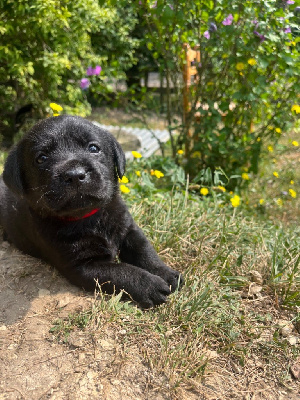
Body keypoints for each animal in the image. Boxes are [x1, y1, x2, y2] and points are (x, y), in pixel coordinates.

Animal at [0, 114, 183, 308]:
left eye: (93, 148)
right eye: (41, 158)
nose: (74, 174)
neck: (90, 217)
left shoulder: (129, 229)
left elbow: (145, 251)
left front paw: (166, 273)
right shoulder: (83, 266)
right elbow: (121, 271)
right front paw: (150, 285)